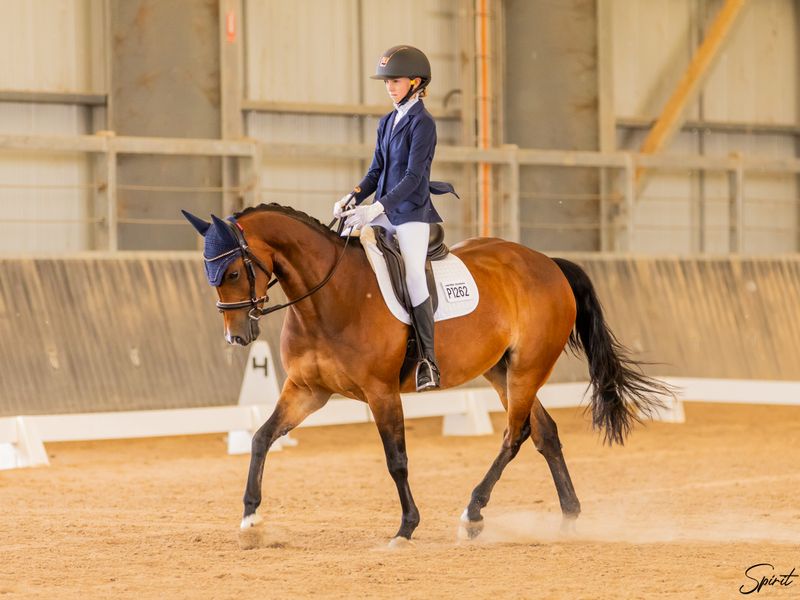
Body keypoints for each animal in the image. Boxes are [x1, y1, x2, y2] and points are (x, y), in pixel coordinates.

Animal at [182, 203, 670, 548]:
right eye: (208, 274)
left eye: (231, 270)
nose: (237, 337)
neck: (327, 297)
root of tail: (548, 263)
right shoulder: (307, 391)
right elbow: (261, 438)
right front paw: (250, 521)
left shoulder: (381, 393)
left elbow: (396, 460)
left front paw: (406, 528)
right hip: (502, 371)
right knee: (545, 432)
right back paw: (568, 516)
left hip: (528, 368)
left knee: (515, 435)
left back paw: (472, 514)